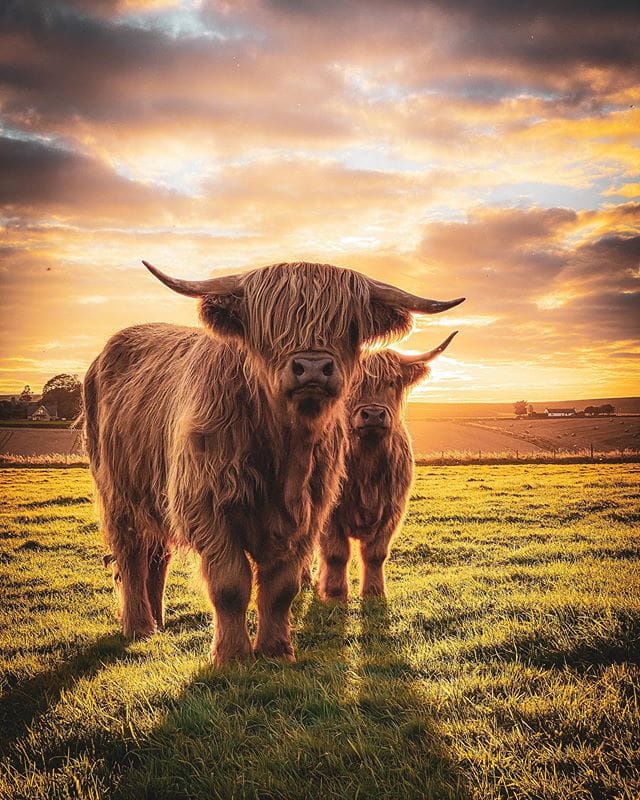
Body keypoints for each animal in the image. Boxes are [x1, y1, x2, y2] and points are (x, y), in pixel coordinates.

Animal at [318, 332, 458, 600]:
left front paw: (374, 592)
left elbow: (376, 554)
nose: (373, 415)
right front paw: (334, 594)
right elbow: (336, 553)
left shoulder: (393, 509)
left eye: (392, 382)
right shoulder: (330, 513)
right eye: (352, 382)